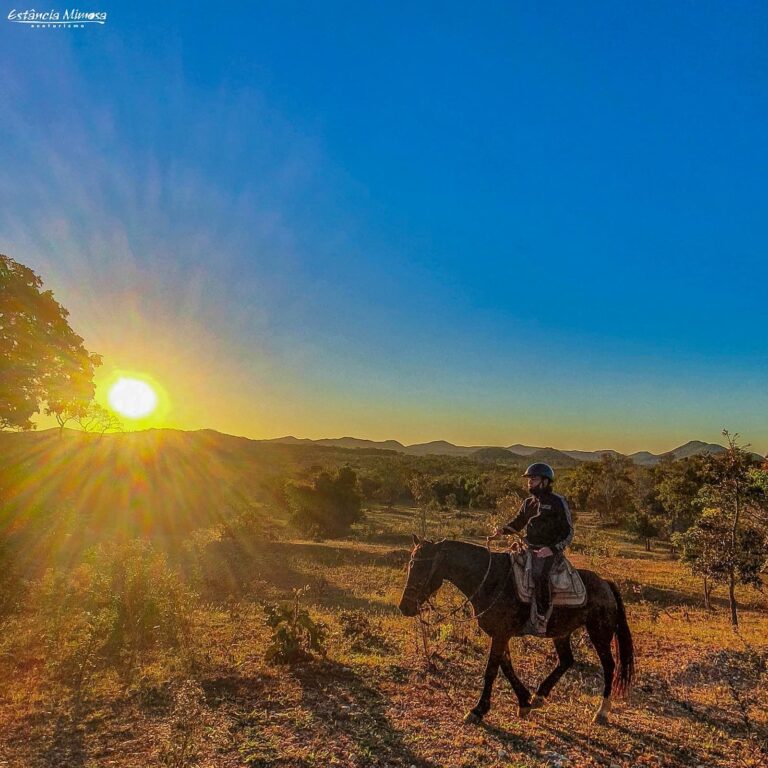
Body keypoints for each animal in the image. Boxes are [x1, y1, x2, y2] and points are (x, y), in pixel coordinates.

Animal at [400, 536, 632, 724]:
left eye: (423, 568)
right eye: (410, 565)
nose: (405, 607)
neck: (490, 580)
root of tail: (606, 584)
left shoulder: (501, 634)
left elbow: (492, 670)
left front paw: (478, 710)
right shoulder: (500, 634)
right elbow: (506, 667)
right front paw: (524, 701)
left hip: (599, 633)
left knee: (609, 666)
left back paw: (601, 711)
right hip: (561, 633)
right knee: (566, 660)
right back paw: (539, 696)